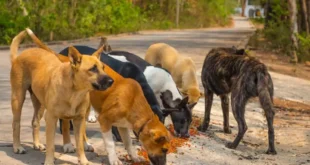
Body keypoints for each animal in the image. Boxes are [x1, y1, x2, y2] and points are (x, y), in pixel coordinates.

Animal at [9, 29, 114, 164]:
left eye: (103, 67)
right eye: (93, 69)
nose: (111, 81)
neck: (75, 91)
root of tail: (18, 57)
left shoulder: (79, 120)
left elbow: (80, 144)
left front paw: (83, 161)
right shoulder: (51, 119)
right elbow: (51, 145)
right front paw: (49, 161)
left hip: (40, 104)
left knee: (35, 122)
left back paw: (37, 144)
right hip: (18, 99)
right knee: (16, 124)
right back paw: (17, 147)